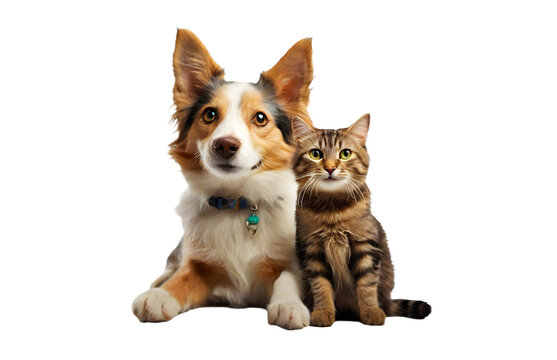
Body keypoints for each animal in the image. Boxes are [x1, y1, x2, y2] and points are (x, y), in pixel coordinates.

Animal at [130, 29, 312, 330]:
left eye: (260, 118)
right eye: (210, 114)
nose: (225, 145)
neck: (238, 202)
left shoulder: (290, 262)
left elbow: (288, 277)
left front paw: (289, 305)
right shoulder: (199, 263)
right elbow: (181, 278)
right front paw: (159, 296)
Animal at [292, 115, 430, 326]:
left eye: (345, 154)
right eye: (315, 154)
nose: (330, 168)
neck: (332, 209)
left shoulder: (365, 245)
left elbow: (366, 285)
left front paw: (371, 311)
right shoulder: (312, 250)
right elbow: (321, 286)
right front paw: (323, 311)